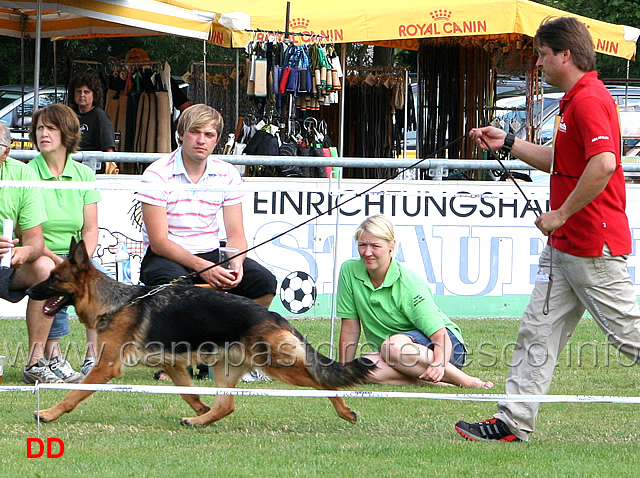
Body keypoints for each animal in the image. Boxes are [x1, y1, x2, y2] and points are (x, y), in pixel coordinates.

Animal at [26, 239, 376, 426]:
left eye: (55, 278)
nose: (29, 290)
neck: (118, 302)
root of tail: (273, 314)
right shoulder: (172, 364)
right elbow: (188, 391)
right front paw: (199, 409)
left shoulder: (105, 366)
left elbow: (74, 394)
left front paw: (49, 413)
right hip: (225, 368)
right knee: (226, 405)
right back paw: (198, 420)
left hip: (280, 367)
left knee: (323, 383)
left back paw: (345, 412)